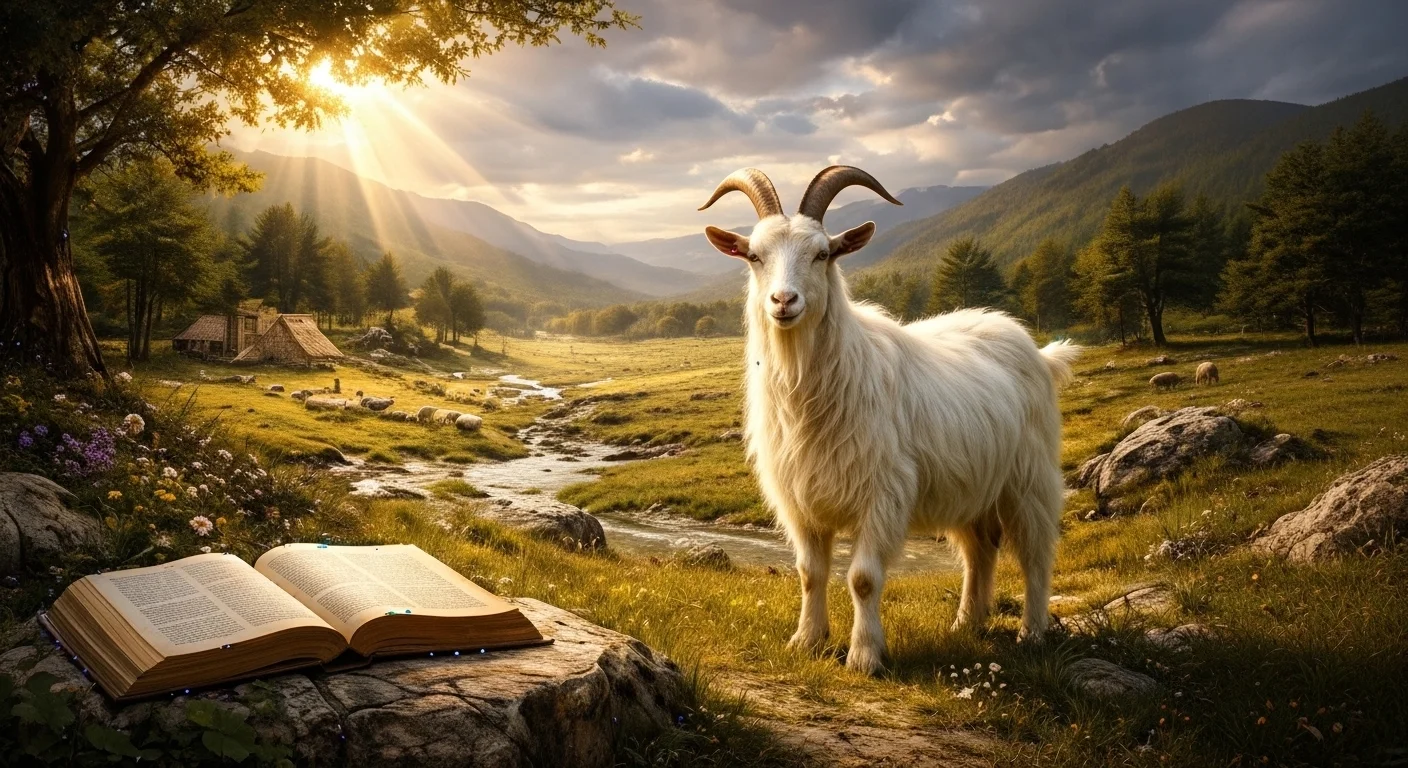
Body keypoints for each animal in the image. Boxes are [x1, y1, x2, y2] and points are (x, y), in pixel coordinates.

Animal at [699, 167, 1081, 674]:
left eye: (823, 253)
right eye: (754, 256)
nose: (784, 301)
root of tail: (1036, 350)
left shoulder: (883, 493)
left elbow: (862, 578)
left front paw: (864, 656)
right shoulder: (800, 499)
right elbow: (809, 573)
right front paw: (807, 641)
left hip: (1028, 477)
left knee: (1036, 554)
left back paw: (1031, 632)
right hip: (970, 488)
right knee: (980, 551)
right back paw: (967, 623)